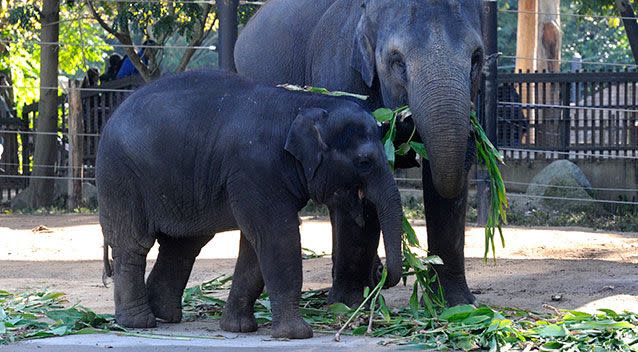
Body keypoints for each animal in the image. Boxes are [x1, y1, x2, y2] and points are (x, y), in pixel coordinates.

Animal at [95, 71, 404, 338]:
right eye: (364, 162)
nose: (379, 274)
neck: (303, 104)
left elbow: (256, 245)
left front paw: (239, 328)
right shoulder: (255, 168)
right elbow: (277, 236)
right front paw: (295, 334)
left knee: (183, 245)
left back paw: (164, 315)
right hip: (120, 178)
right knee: (134, 244)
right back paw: (139, 323)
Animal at [235, 0, 484, 306]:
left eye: (476, 58)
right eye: (397, 61)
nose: (387, 279)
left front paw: (458, 304)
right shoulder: (340, 71)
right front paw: (347, 303)